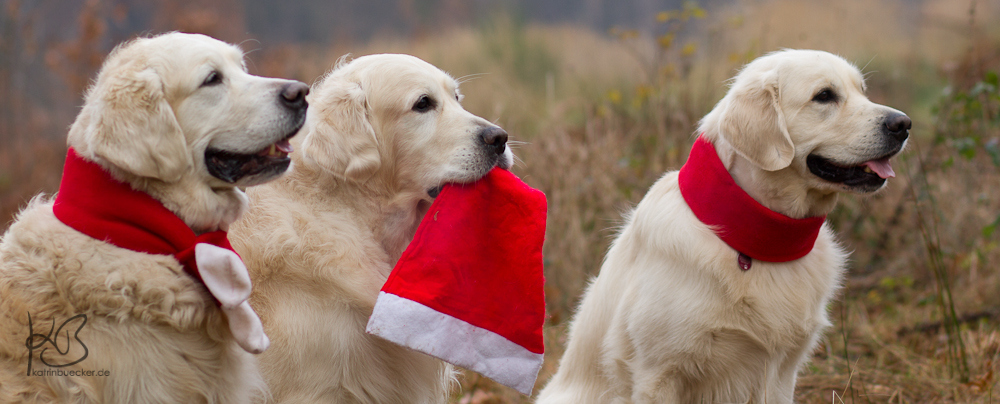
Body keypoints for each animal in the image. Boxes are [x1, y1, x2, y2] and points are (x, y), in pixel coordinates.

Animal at [540, 50, 916, 404]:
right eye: (824, 96)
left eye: (862, 91)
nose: (903, 124)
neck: (752, 236)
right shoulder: (657, 372)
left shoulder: (782, 371)